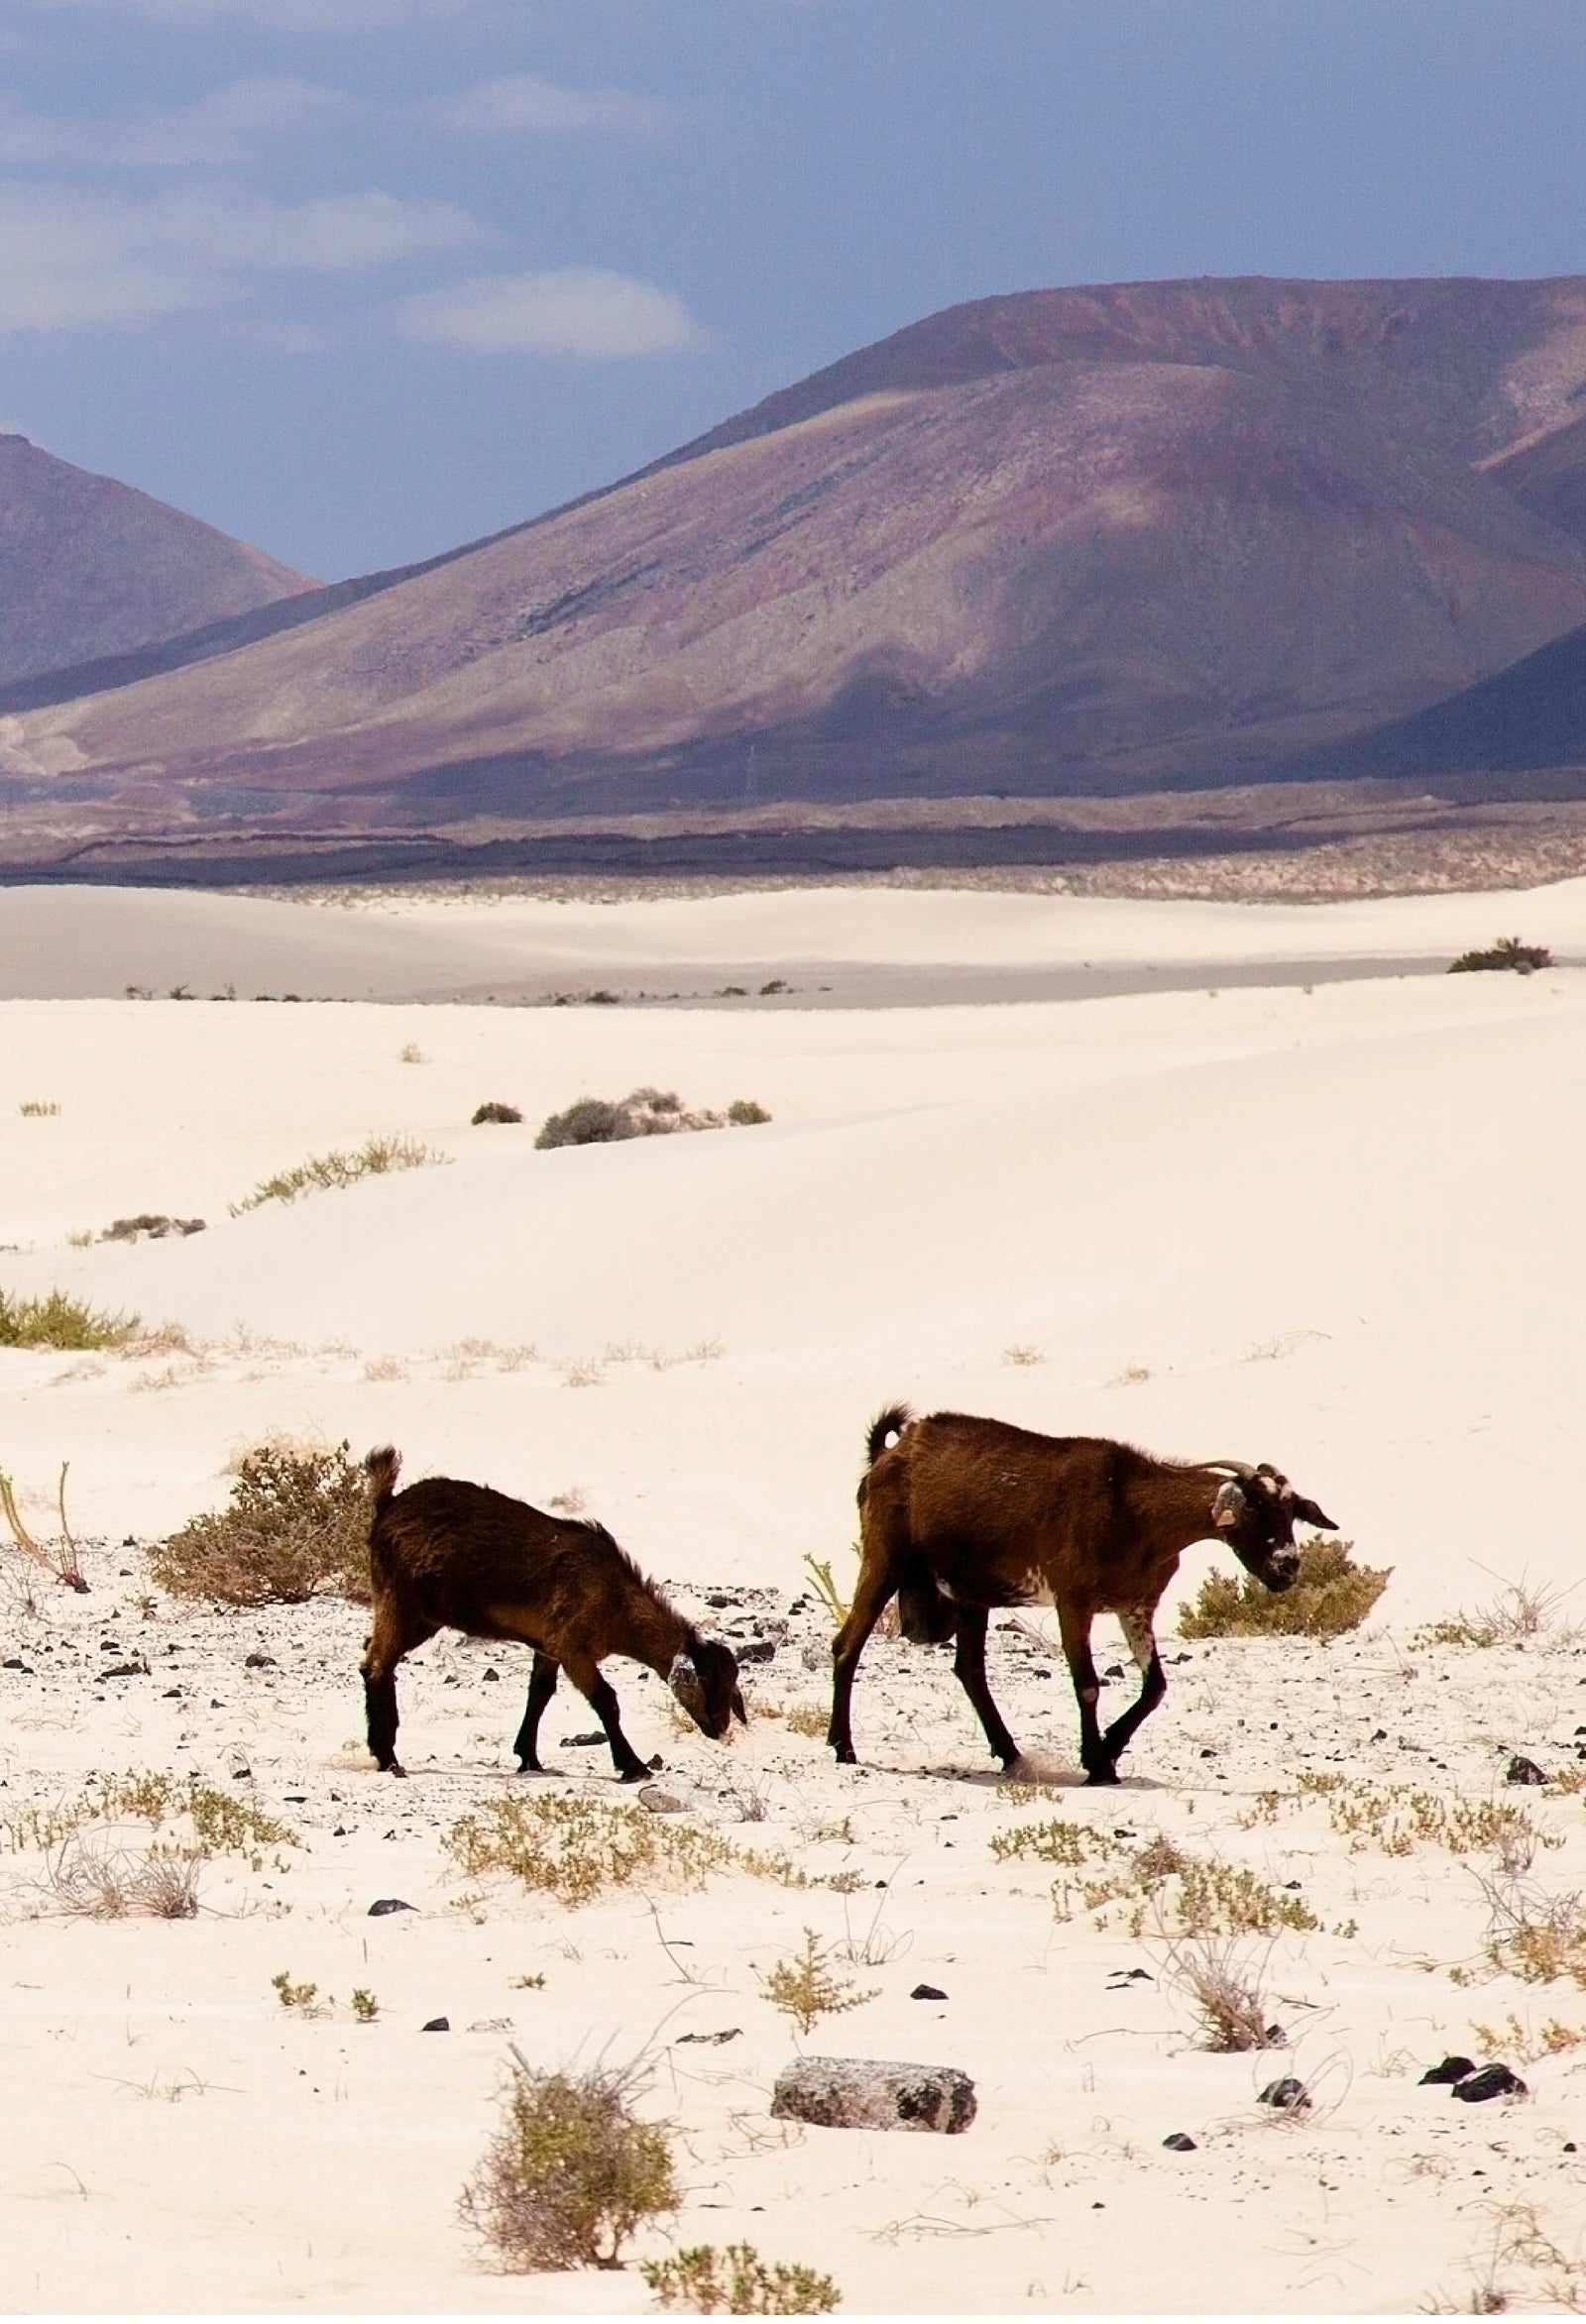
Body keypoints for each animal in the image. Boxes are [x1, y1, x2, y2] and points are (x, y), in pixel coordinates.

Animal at [361, 1447, 746, 1780]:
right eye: (707, 1679)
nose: (719, 1726)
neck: (616, 1600)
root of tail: (387, 1506)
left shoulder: (548, 1646)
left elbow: (540, 1695)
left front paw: (529, 1759)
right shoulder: (572, 1647)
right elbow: (606, 1700)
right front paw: (633, 1766)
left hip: (418, 1614)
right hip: (402, 1603)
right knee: (377, 1664)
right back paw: (388, 1756)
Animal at [828, 1404, 1336, 1783]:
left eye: (1292, 1511)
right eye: (1254, 1507)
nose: (1286, 1568)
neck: (1132, 1508)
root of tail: (889, 1455)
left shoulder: (1136, 1606)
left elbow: (1155, 1687)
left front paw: (1108, 1749)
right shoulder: (1073, 1601)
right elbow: (1088, 1684)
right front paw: (1097, 1762)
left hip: (971, 1593)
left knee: (970, 1670)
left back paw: (1012, 1755)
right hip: (885, 1559)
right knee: (846, 1646)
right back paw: (843, 1747)